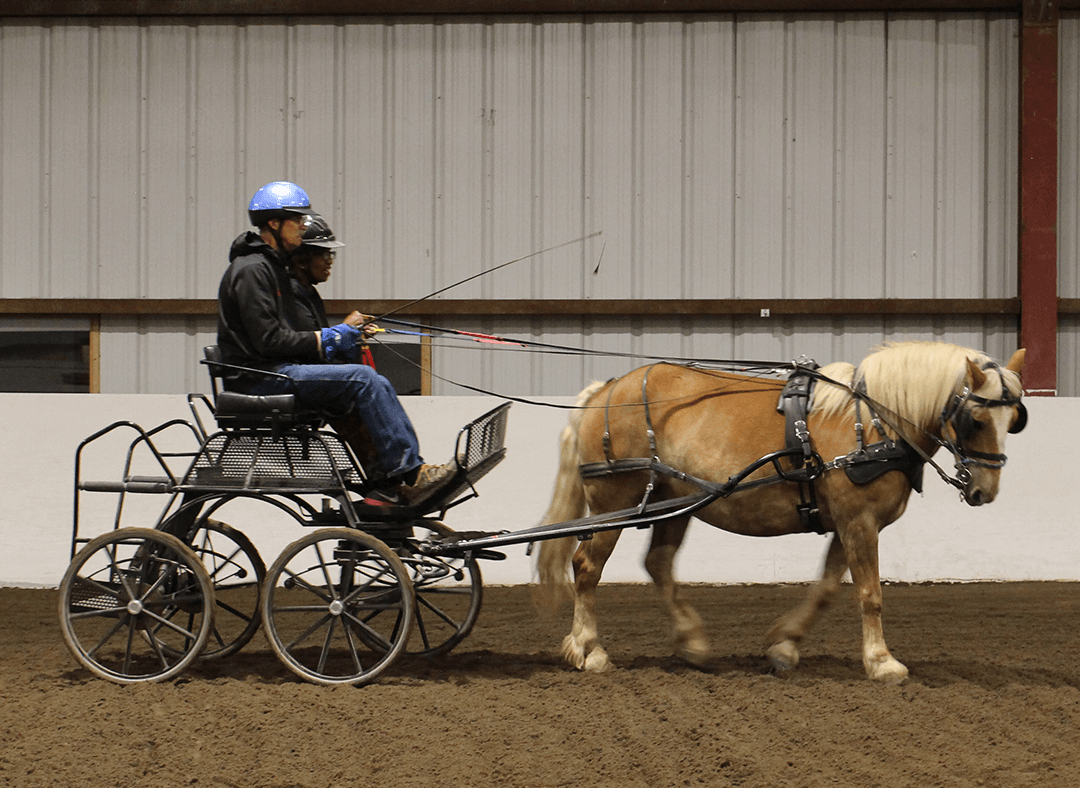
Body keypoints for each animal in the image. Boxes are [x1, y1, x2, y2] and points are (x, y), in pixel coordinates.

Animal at [535, 341, 1023, 677]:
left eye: (1014, 419)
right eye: (976, 420)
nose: (985, 490)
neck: (874, 423)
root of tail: (605, 390)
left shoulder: (847, 523)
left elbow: (826, 588)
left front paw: (785, 646)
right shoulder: (859, 520)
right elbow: (870, 594)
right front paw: (882, 661)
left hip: (674, 503)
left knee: (657, 563)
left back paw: (693, 642)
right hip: (616, 503)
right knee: (587, 566)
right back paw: (589, 649)